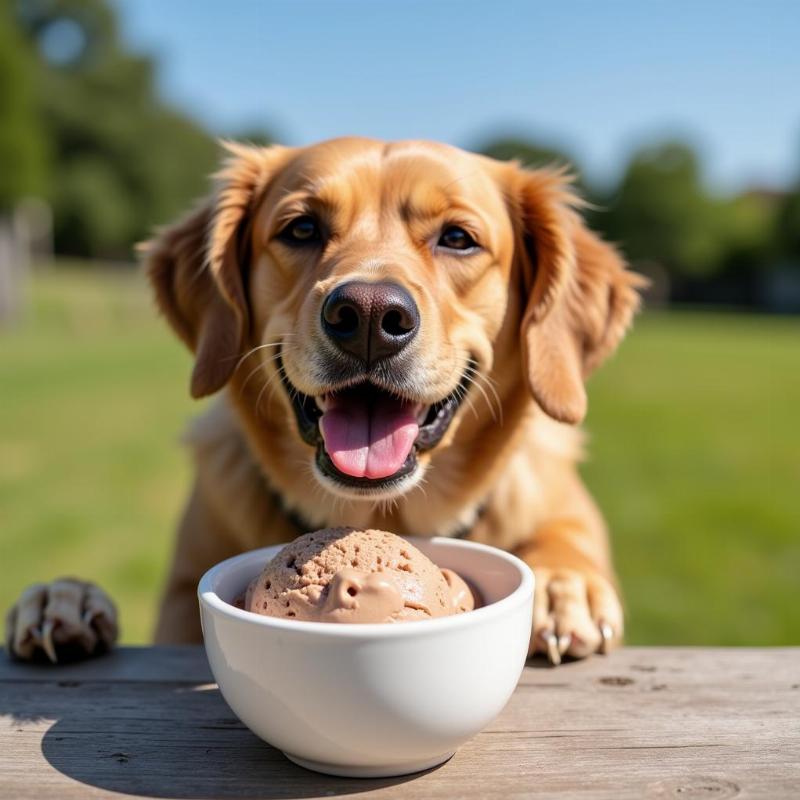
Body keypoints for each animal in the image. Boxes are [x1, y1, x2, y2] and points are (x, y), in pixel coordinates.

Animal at [4, 136, 644, 664]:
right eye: (302, 229)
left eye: (458, 238)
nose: (368, 316)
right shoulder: (183, 593)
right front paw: (62, 598)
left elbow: (564, 540)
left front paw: (562, 588)